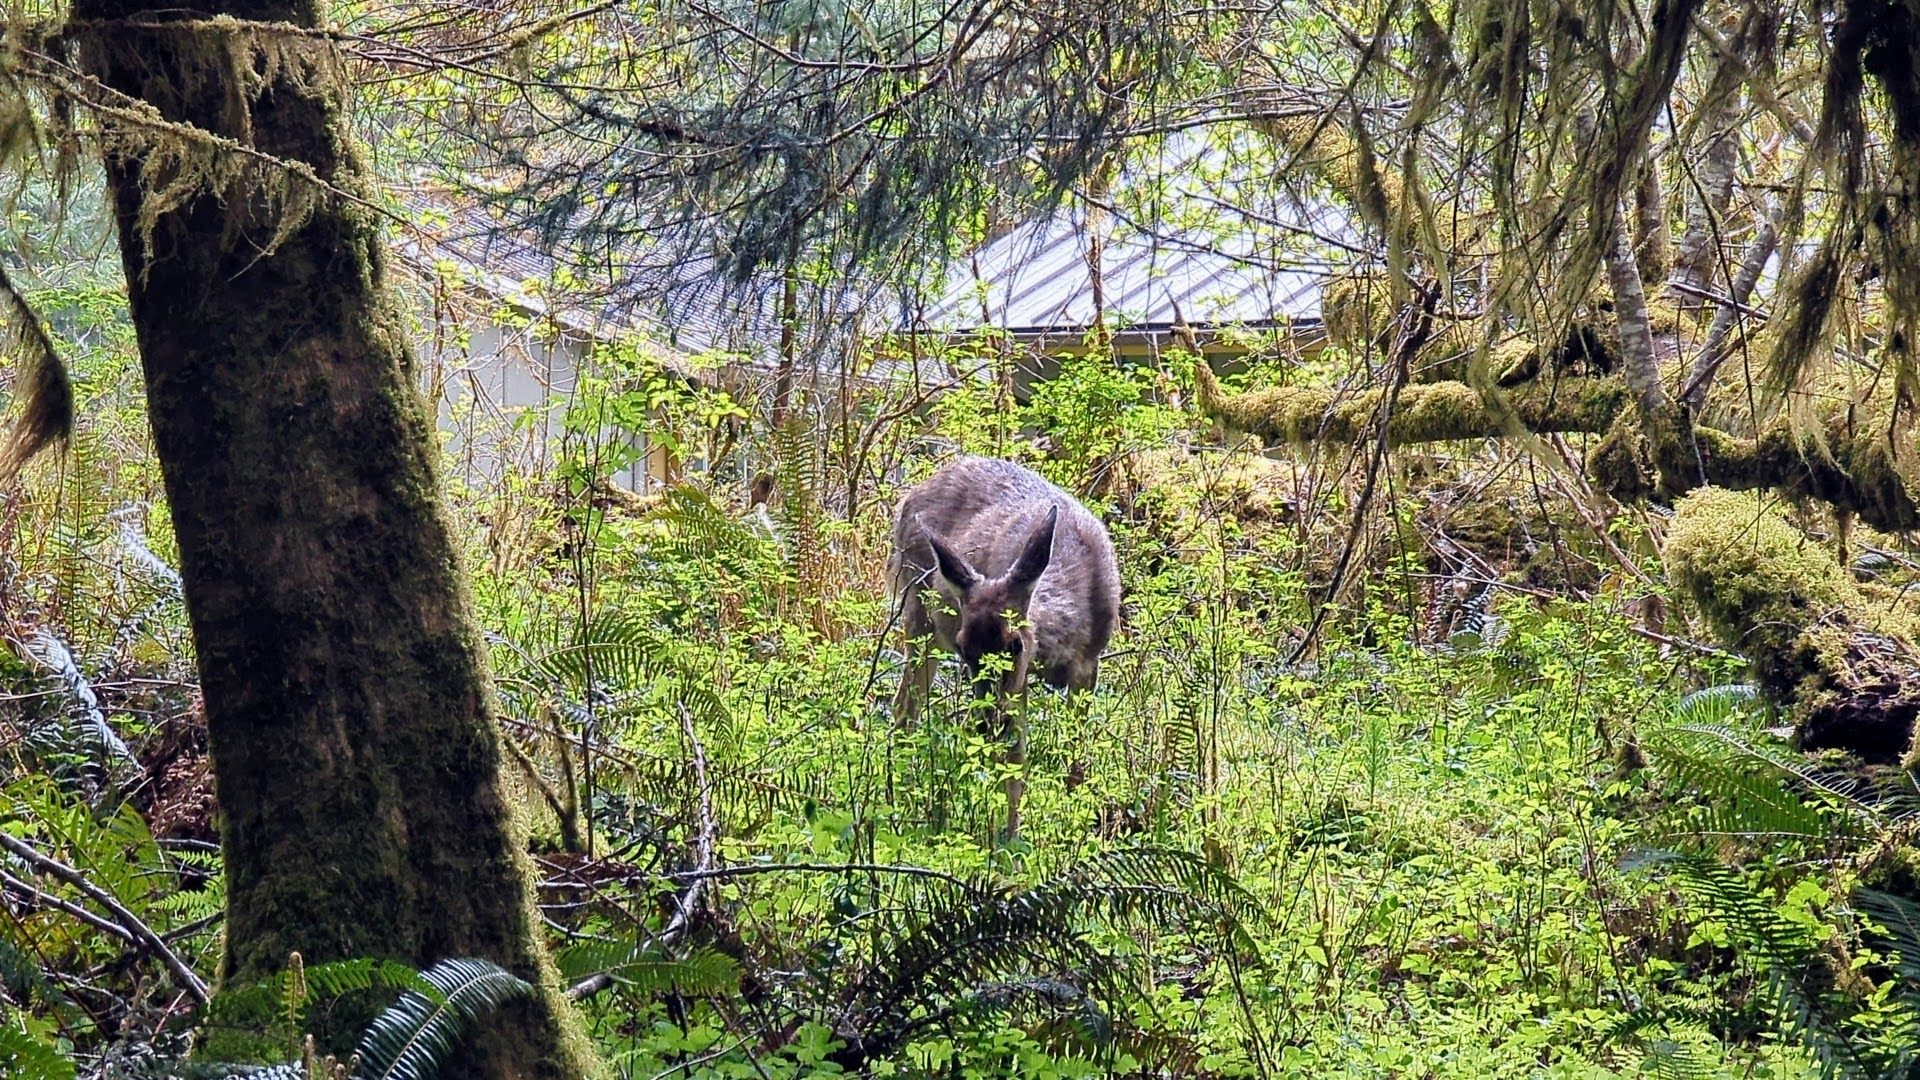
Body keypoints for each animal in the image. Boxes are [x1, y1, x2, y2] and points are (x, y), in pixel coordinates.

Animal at [888, 457, 1121, 839]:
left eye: (1015, 645)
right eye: (964, 648)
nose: (984, 725)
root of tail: (907, 499)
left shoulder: (1089, 661)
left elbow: (1076, 757)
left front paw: (1073, 826)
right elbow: (1014, 762)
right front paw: (1008, 841)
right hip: (917, 610)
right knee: (905, 704)